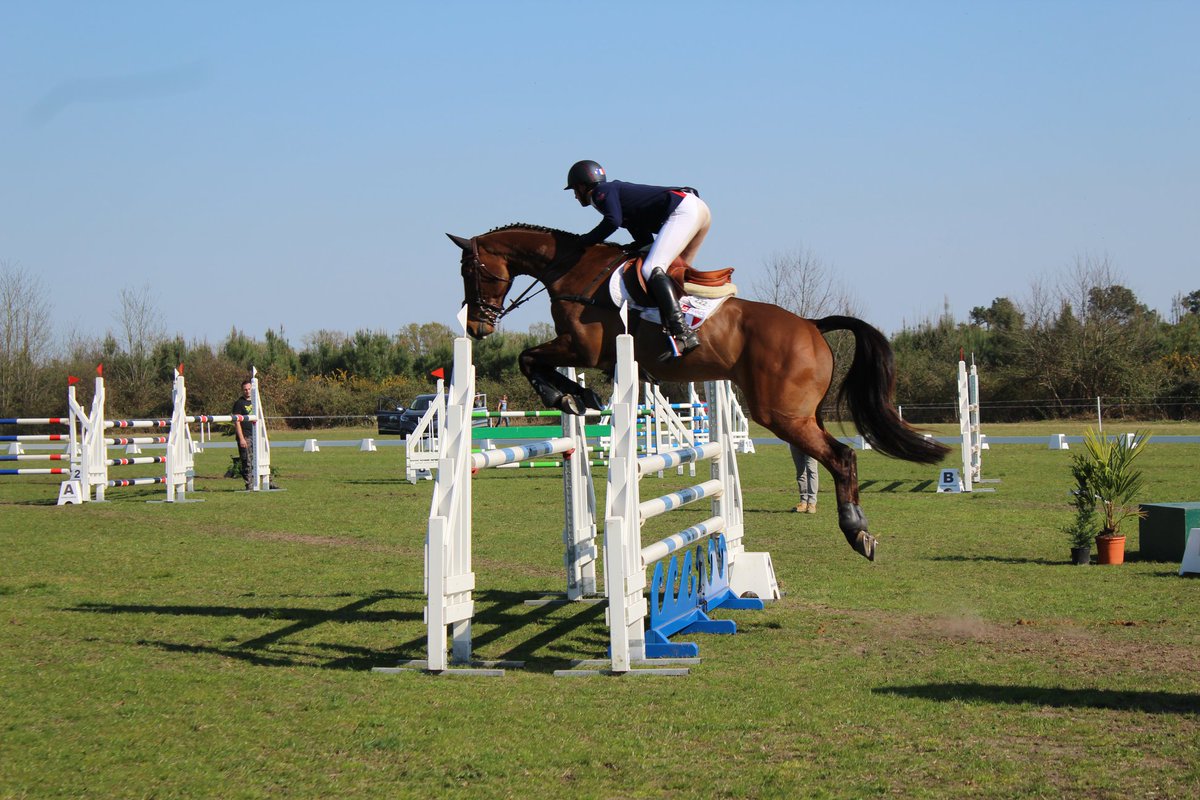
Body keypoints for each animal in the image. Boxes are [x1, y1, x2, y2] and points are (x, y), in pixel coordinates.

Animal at [447, 223, 949, 560]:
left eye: (471, 271)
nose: (476, 326)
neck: (572, 272)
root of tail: (811, 324)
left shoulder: (581, 347)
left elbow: (528, 357)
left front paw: (567, 397)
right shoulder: (593, 355)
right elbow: (536, 360)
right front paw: (577, 397)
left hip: (781, 414)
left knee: (842, 457)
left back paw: (857, 532)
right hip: (803, 413)